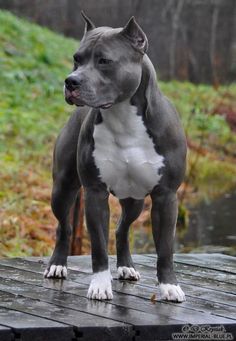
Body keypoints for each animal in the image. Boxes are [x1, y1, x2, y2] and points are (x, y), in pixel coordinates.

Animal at [44, 11, 187, 302]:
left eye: (104, 61)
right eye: (77, 58)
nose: (71, 80)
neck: (122, 115)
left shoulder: (165, 196)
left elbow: (166, 248)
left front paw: (169, 285)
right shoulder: (95, 192)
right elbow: (98, 246)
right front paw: (100, 285)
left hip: (134, 200)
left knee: (122, 228)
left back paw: (126, 267)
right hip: (62, 188)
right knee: (64, 227)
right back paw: (57, 264)